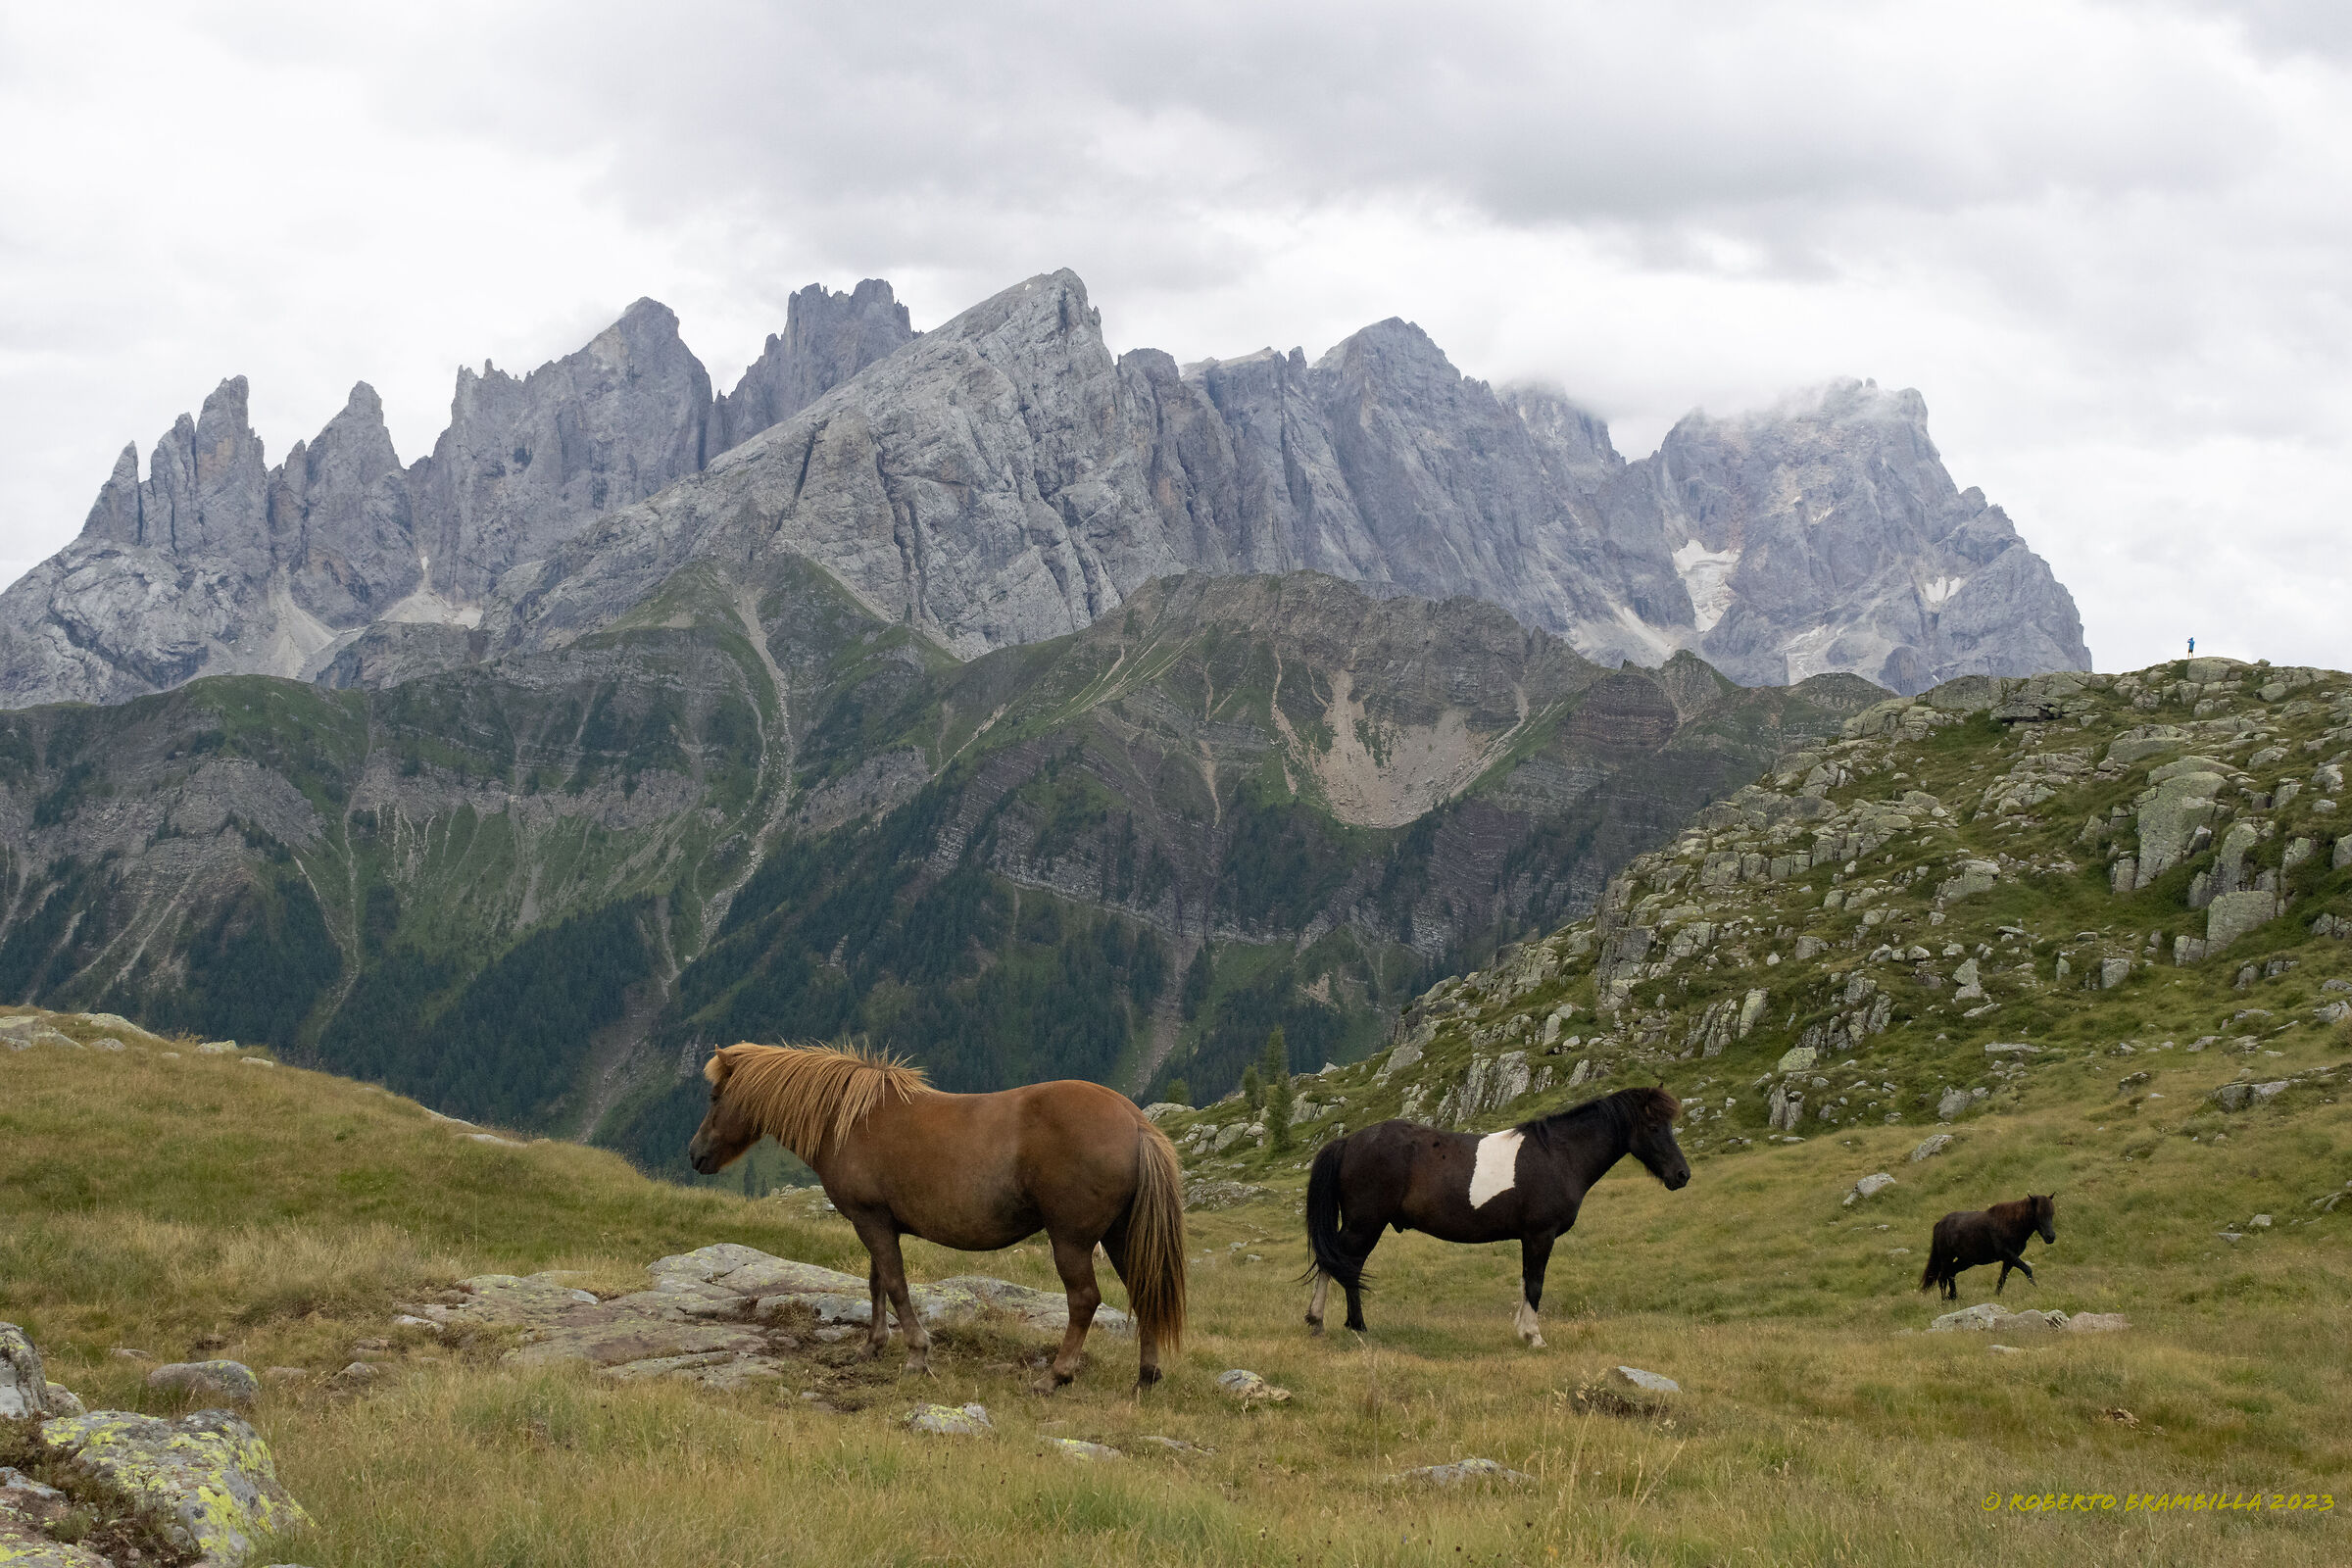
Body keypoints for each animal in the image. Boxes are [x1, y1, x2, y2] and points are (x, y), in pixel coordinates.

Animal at [687, 1042, 1186, 1391]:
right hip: (1120, 1237)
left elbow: (895, 1284)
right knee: (1142, 1290)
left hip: (1072, 1241)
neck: (847, 1121)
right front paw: (871, 1347)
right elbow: (877, 1282)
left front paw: (916, 1355)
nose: (695, 1155)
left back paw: (1055, 1377)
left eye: (714, 1096)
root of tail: (1134, 1121)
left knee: (1084, 1300)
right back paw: (1146, 1375)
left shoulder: (871, 1221)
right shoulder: (877, 1223)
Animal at [1302, 1085, 1689, 1347]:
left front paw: (1524, 1331)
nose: (1682, 1175)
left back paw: (1327, 1322)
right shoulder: (1540, 1235)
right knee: (1342, 1264)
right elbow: (1534, 1284)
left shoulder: (1531, 1237)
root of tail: (1348, 1142)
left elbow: (1526, 1282)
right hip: (1365, 1224)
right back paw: (1344, 1323)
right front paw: (1534, 1336)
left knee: (1339, 1263)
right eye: (1654, 1126)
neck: (1559, 1155)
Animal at [1918, 1194, 2057, 1301]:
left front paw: (1996, 1296)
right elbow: (2027, 1269)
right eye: (2038, 1214)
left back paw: (1953, 1297)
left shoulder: (2010, 1260)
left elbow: (2002, 1279)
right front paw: (2038, 1290)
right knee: (1942, 1278)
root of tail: (1939, 1224)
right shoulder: (2008, 1254)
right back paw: (1945, 1301)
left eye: (2052, 1214)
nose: (2050, 1237)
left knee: (1951, 1273)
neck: (2011, 1224)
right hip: (1946, 1258)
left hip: (1966, 1260)